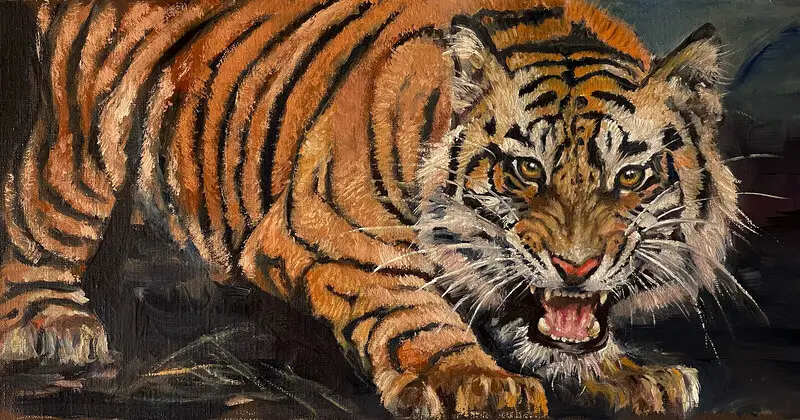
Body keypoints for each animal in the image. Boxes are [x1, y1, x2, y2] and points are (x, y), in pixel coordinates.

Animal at [0, 0, 743, 417]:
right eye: (526, 170)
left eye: (632, 175)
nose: (577, 266)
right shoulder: (330, 233)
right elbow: (415, 313)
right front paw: (476, 381)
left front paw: (629, 374)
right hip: (83, 146)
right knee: (33, 222)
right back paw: (54, 325)